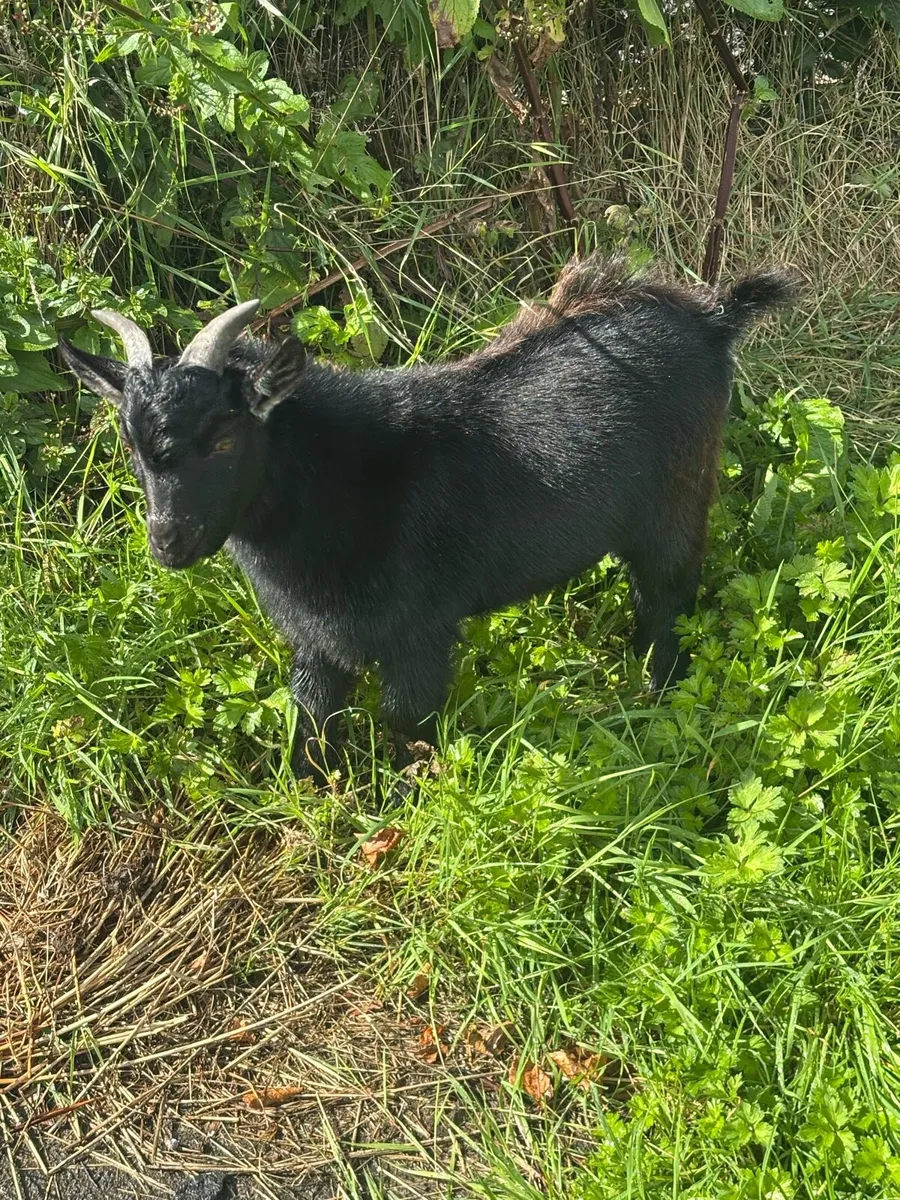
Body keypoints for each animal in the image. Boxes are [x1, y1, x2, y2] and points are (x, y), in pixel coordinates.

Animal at [60, 255, 796, 778]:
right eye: (129, 442)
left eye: (221, 438)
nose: (168, 542)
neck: (341, 484)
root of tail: (715, 318)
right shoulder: (318, 642)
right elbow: (310, 731)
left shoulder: (418, 636)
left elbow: (407, 729)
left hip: (674, 507)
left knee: (667, 601)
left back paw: (657, 704)